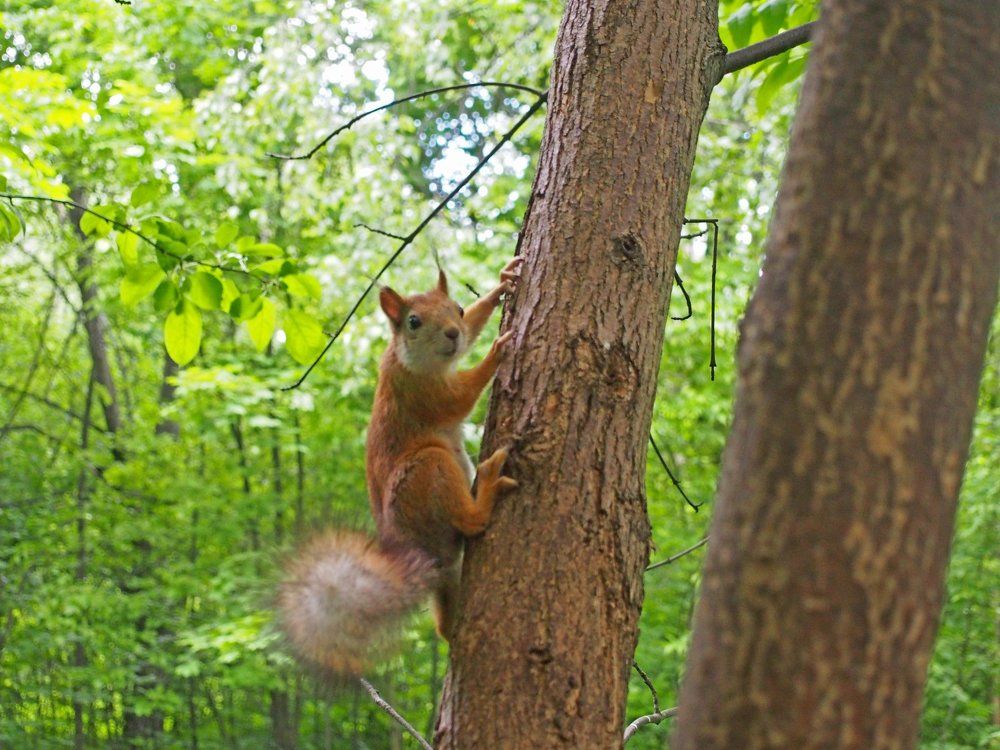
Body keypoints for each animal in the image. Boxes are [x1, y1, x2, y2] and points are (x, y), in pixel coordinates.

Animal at [278, 258, 523, 676]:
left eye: (458, 308)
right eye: (413, 321)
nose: (453, 334)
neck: (413, 361)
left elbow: (475, 330)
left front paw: (500, 284)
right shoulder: (421, 394)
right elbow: (461, 397)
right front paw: (495, 352)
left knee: (445, 625)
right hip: (426, 472)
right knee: (471, 520)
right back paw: (488, 483)